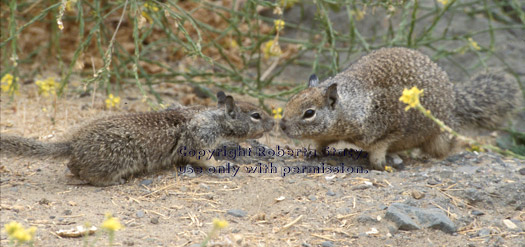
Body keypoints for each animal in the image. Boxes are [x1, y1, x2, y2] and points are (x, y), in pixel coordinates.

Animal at [1, 92, 274, 185]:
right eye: (256, 115)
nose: (273, 123)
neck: (215, 117)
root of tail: (74, 144)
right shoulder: (201, 139)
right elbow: (206, 160)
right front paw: (223, 166)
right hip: (120, 158)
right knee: (91, 176)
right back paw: (112, 182)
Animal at [278, 46, 520, 170]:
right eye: (289, 101)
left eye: (309, 113)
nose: (282, 126)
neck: (353, 106)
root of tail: (454, 97)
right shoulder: (327, 134)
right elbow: (320, 142)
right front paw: (312, 152)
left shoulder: (392, 127)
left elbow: (380, 148)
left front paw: (378, 164)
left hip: (438, 138)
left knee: (446, 147)